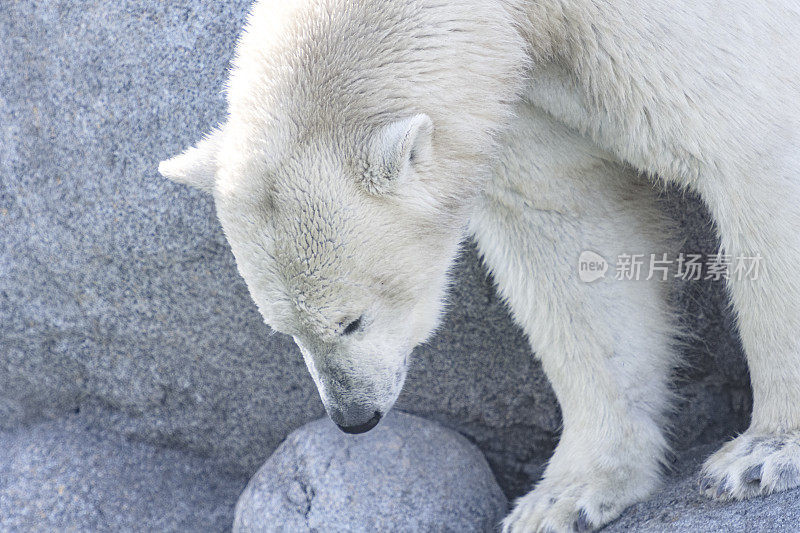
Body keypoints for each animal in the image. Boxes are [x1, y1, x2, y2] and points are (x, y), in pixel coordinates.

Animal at [158, 2, 800, 528]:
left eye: (351, 320)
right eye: (283, 330)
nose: (355, 418)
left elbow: (753, 148)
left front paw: (762, 454)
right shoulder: (524, 90)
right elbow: (570, 230)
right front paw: (560, 499)